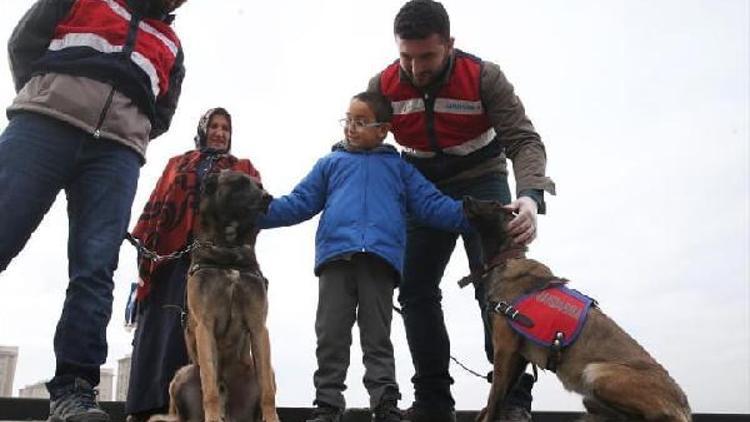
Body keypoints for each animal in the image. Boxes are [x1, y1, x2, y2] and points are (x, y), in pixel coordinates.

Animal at [464, 199, 692, 422]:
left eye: (493, 204)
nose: (465, 199)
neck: (507, 258)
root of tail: (684, 408)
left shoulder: (505, 349)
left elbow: (494, 400)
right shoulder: (519, 357)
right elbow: (493, 402)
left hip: (594, 373)